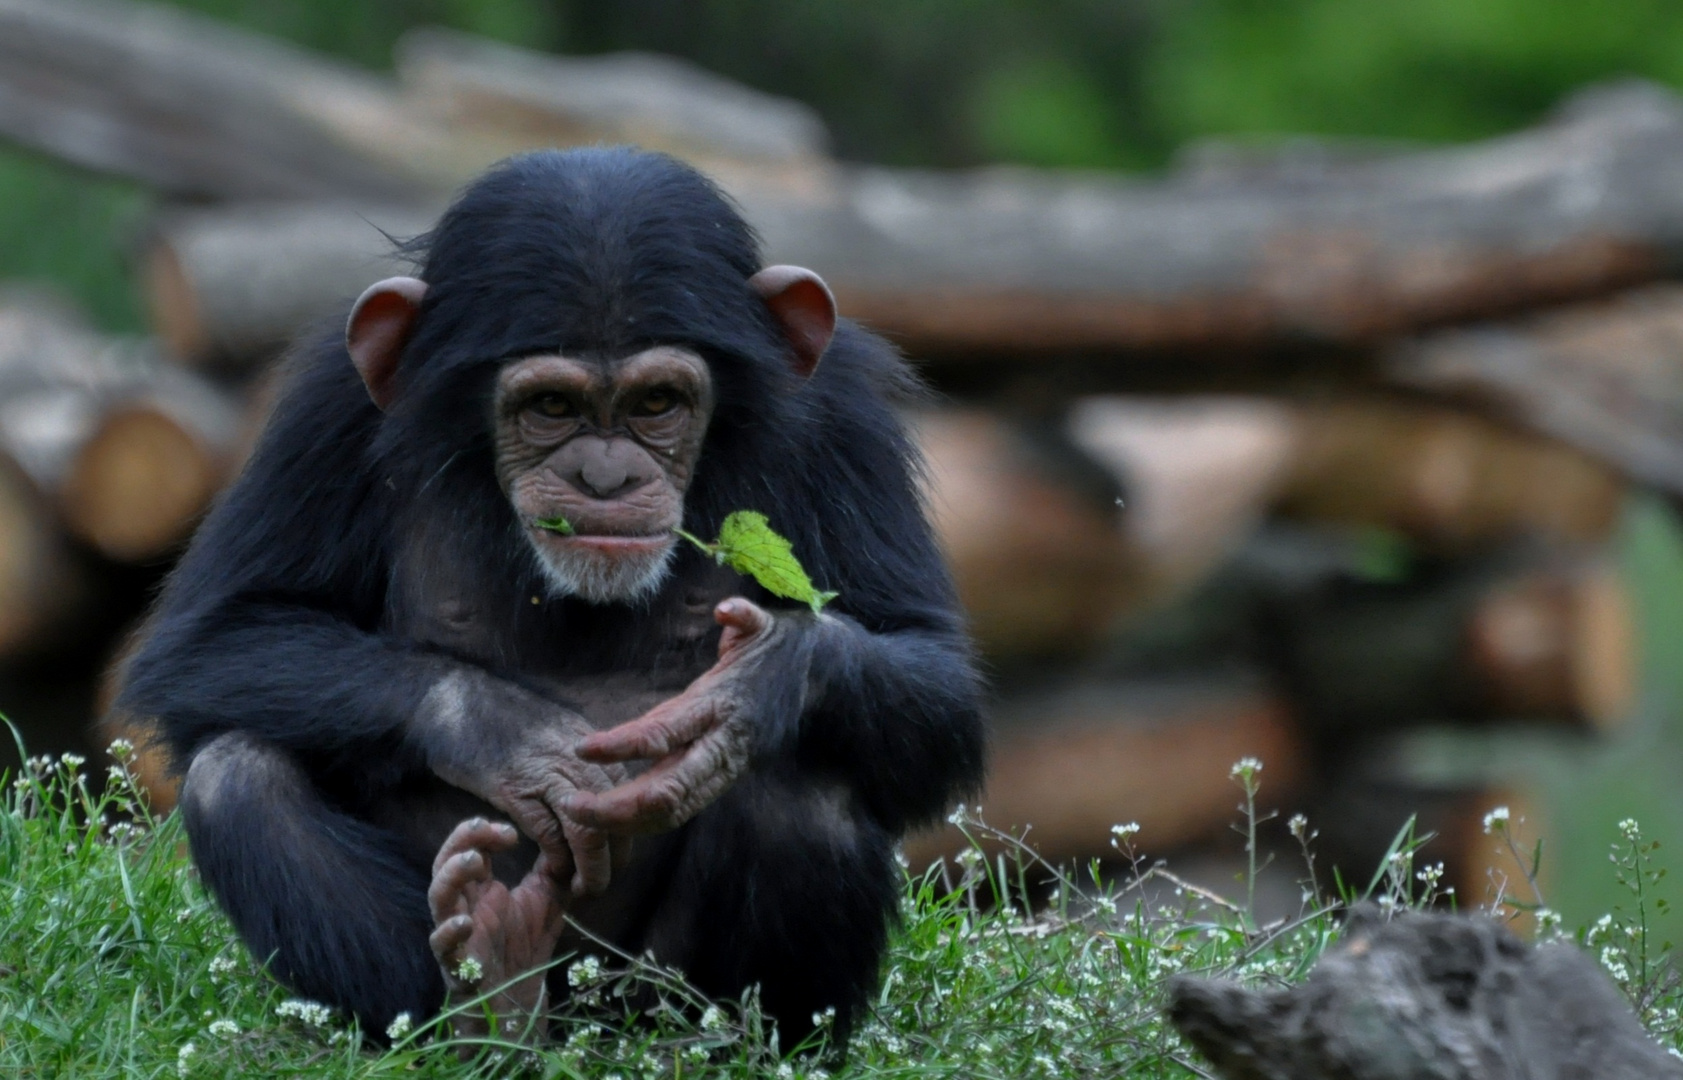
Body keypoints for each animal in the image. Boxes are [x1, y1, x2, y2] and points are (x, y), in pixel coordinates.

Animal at [124, 147, 982, 1036]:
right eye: (550, 406)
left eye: (656, 402)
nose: (603, 476)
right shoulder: (324, 409)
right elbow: (216, 636)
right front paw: (505, 736)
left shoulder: (846, 418)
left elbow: (931, 668)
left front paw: (758, 679)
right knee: (237, 776)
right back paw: (489, 989)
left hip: (636, 997)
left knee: (805, 791)